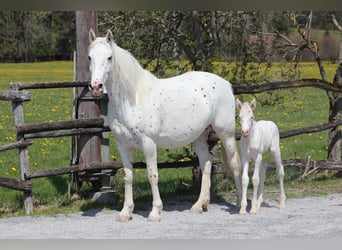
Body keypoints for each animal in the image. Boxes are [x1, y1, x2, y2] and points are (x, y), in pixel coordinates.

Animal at [88, 29, 243, 223]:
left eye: (109, 57)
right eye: (89, 57)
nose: (96, 87)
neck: (132, 99)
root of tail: (226, 84)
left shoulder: (148, 143)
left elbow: (152, 175)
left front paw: (155, 212)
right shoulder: (123, 144)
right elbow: (128, 176)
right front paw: (125, 212)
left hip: (226, 134)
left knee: (235, 164)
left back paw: (240, 205)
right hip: (199, 137)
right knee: (206, 162)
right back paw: (199, 205)